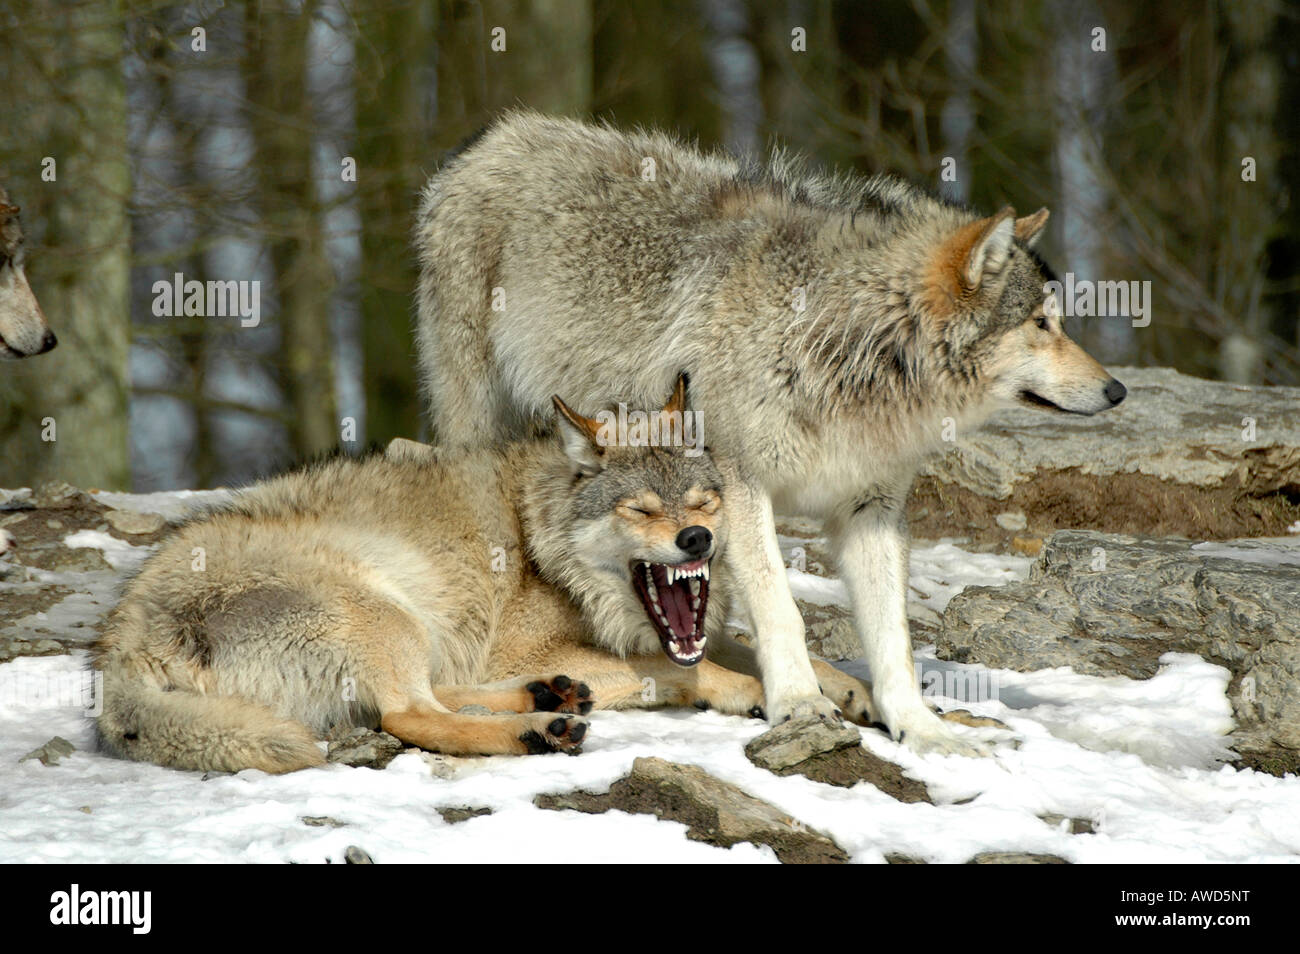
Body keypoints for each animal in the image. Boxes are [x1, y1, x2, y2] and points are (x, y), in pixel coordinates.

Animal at [98, 382, 883, 779]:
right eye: (641, 509)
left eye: (702, 503)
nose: (698, 541)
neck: (541, 536)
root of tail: (119, 648)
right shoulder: (527, 644)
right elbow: (684, 668)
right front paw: (757, 695)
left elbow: (755, 648)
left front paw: (845, 690)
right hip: (383, 610)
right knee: (408, 715)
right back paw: (540, 727)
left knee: (435, 697)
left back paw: (549, 699)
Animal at [410, 108, 1123, 759]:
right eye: (1040, 324)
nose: (1116, 390)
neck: (843, 350)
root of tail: (492, 137)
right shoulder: (739, 486)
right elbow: (782, 610)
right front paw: (800, 705)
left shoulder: (871, 508)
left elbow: (892, 639)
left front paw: (922, 730)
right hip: (477, 413)